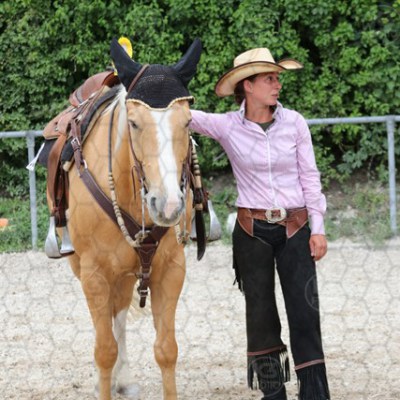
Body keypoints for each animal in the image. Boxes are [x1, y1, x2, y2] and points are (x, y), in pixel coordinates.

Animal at [51, 38, 203, 400]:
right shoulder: (93, 273)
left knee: (118, 313)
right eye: (133, 123)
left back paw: (124, 377)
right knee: (108, 321)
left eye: (188, 121)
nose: (168, 205)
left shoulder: (171, 269)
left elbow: (166, 349)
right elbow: (104, 349)